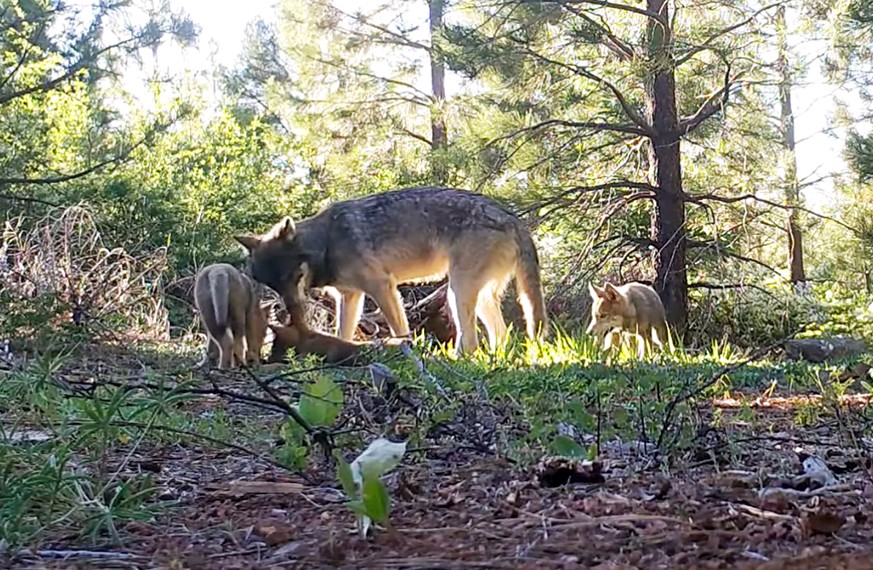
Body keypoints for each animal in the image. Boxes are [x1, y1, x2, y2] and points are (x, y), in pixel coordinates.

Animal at [235, 186, 548, 352]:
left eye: (291, 276)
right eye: (273, 285)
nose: (291, 310)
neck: (327, 243)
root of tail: (513, 218)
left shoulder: (382, 286)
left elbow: (400, 328)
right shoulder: (350, 297)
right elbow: (343, 332)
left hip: (457, 293)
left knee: (471, 342)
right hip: (476, 298)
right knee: (501, 336)